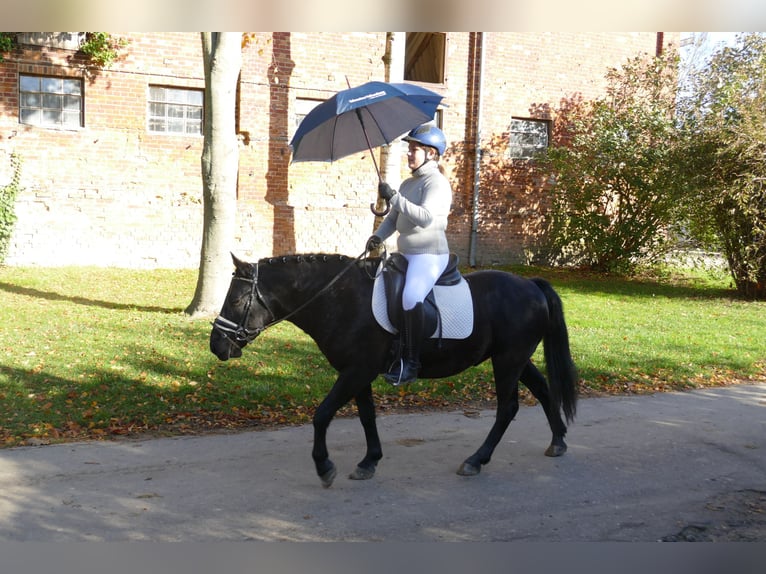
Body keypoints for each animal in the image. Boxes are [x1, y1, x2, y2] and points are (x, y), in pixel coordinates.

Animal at [207, 254, 580, 488]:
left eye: (237, 301)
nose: (216, 346)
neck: (341, 300)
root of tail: (530, 285)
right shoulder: (358, 373)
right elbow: (366, 417)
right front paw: (369, 461)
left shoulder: (356, 372)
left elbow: (322, 414)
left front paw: (324, 466)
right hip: (514, 359)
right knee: (542, 390)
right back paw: (558, 441)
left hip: (507, 361)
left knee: (507, 408)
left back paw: (476, 459)